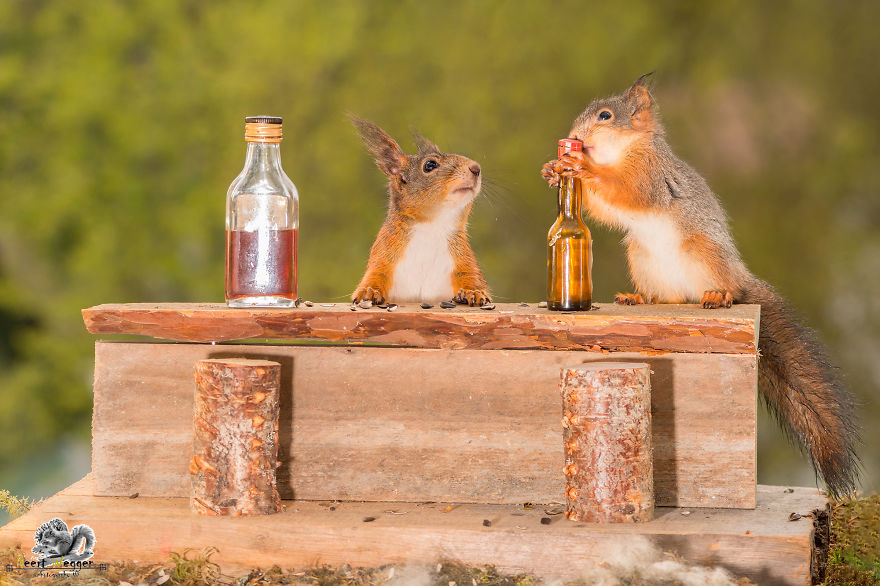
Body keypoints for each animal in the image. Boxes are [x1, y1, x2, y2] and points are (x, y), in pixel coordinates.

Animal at [350, 115, 490, 306]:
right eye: (430, 165)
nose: (476, 168)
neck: (432, 225)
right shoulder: (383, 254)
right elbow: (376, 273)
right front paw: (369, 291)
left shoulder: (463, 258)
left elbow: (471, 275)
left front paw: (474, 292)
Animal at [541, 75, 859, 496]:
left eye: (605, 116)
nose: (574, 137)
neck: (622, 151)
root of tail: (737, 275)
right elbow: (603, 207)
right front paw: (553, 169)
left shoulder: (650, 176)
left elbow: (627, 192)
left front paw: (579, 165)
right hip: (641, 256)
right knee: (670, 298)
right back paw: (640, 298)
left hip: (704, 251)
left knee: (724, 290)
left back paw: (717, 295)